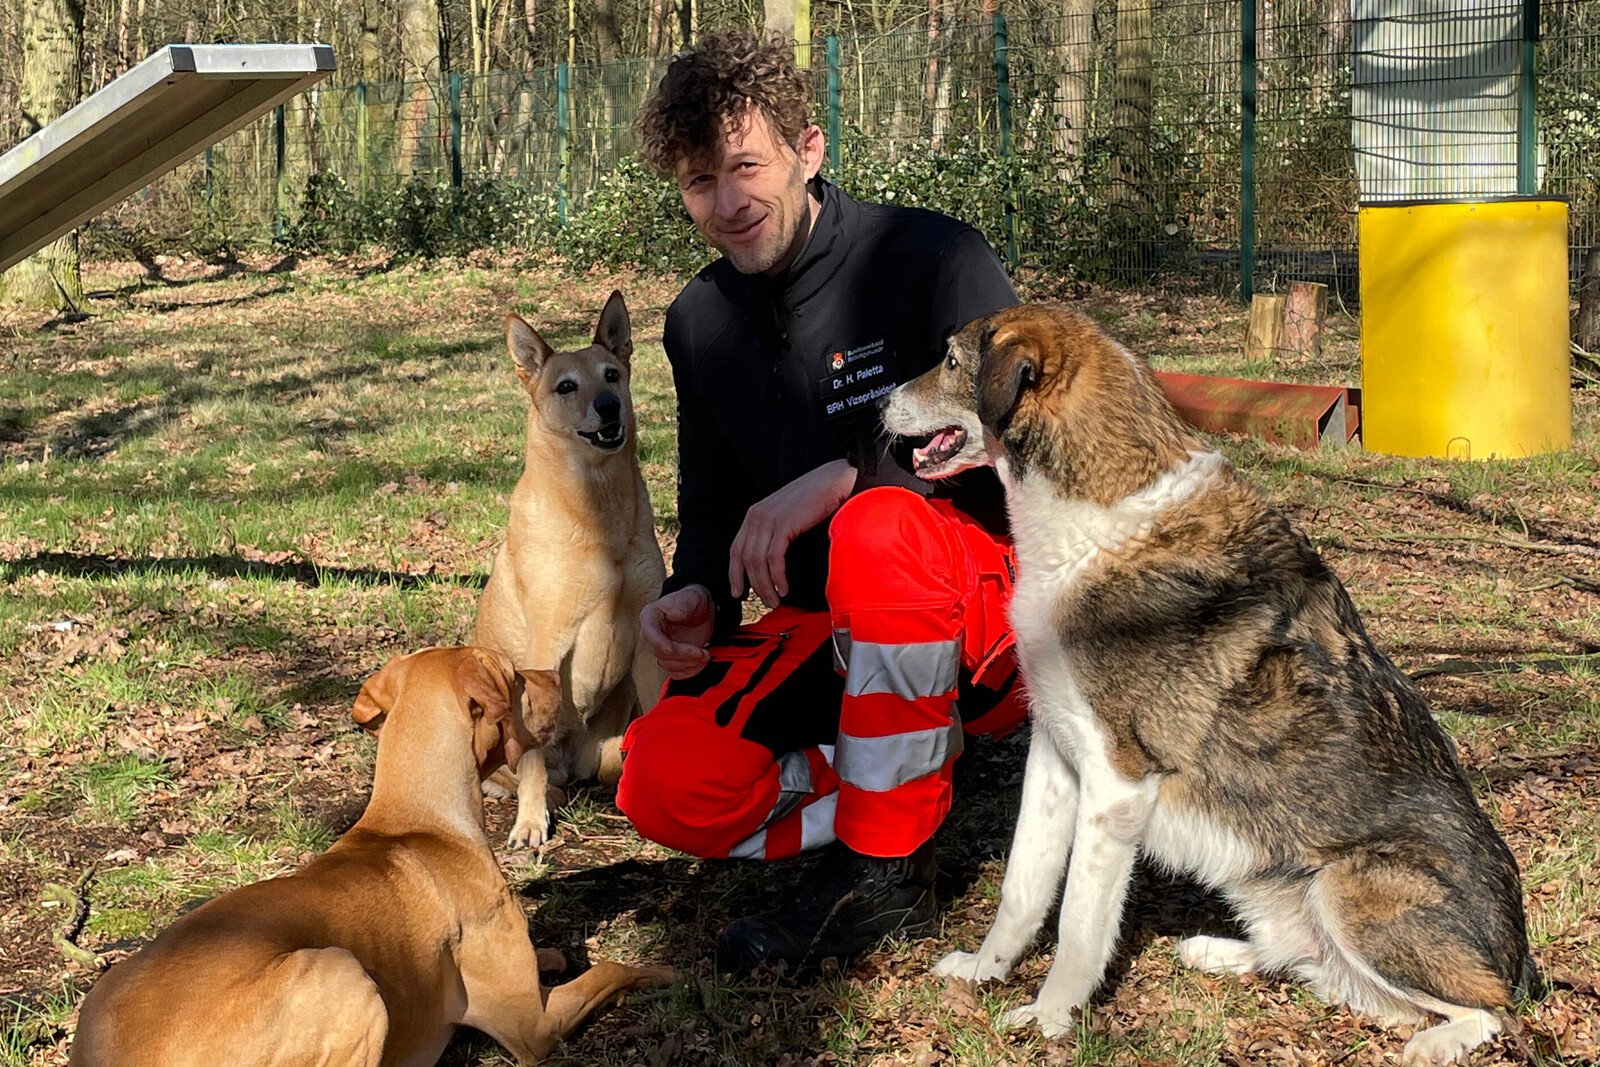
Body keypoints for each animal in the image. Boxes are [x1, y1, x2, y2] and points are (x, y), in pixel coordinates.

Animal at [72, 643, 672, 1067]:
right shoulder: (533, 1027)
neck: (418, 817)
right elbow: (611, 969)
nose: (554, 674)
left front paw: (551, 954)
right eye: (517, 676)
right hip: (344, 973)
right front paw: (662, 969)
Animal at [470, 287, 665, 844]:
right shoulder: (545, 645)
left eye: (612, 374)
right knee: (514, 772)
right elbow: (531, 760)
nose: (609, 406)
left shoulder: (647, 641)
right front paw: (531, 822)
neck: (598, 512)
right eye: (565, 386)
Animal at [883, 302, 1529, 1067]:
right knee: (1321, 970)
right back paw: (1220, 951)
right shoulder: (1055, 752)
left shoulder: (1118, 780)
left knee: (1482, 1011)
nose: (879, 400)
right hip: (1272, 888)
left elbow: (1078, 921)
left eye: (950, 360)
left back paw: (1432, 1044)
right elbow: (1023, 887)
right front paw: (987, 972)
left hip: (1352, 886)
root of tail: (1523, 961)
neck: (1093, 520)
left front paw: (1049, 1019)